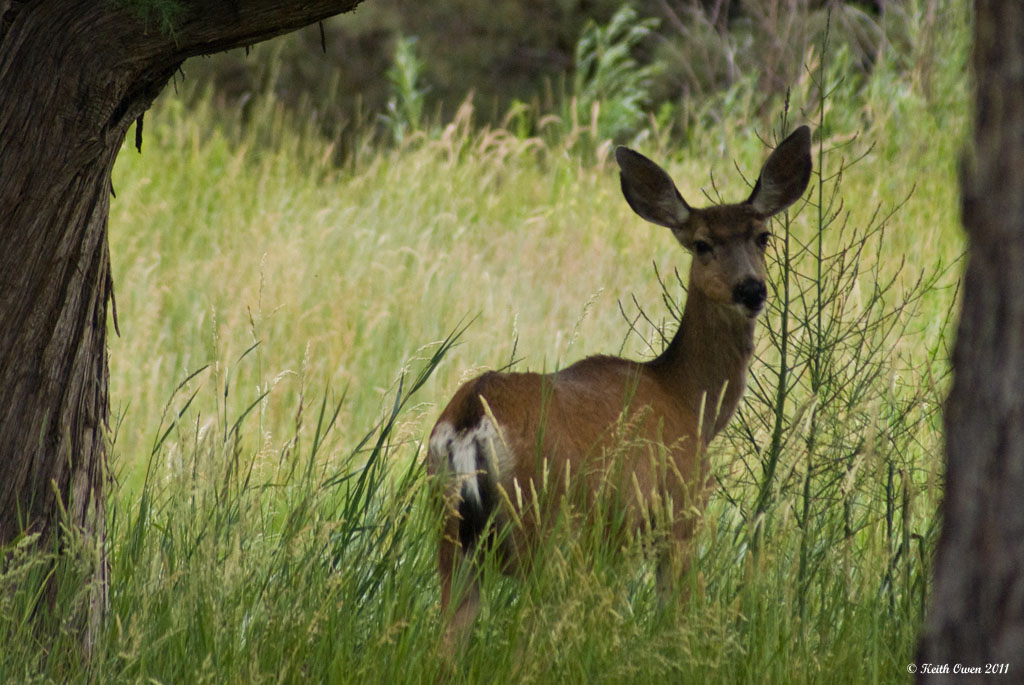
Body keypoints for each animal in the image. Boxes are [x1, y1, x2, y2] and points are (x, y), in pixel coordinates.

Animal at [427, 126, 812, 649]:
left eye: (763, 236)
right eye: (702, 244)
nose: (751, 289)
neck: (689, 400)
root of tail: (470, 417)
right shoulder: (681, 512)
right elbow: (676, 615)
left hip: (453, 538)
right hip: (543, 529)